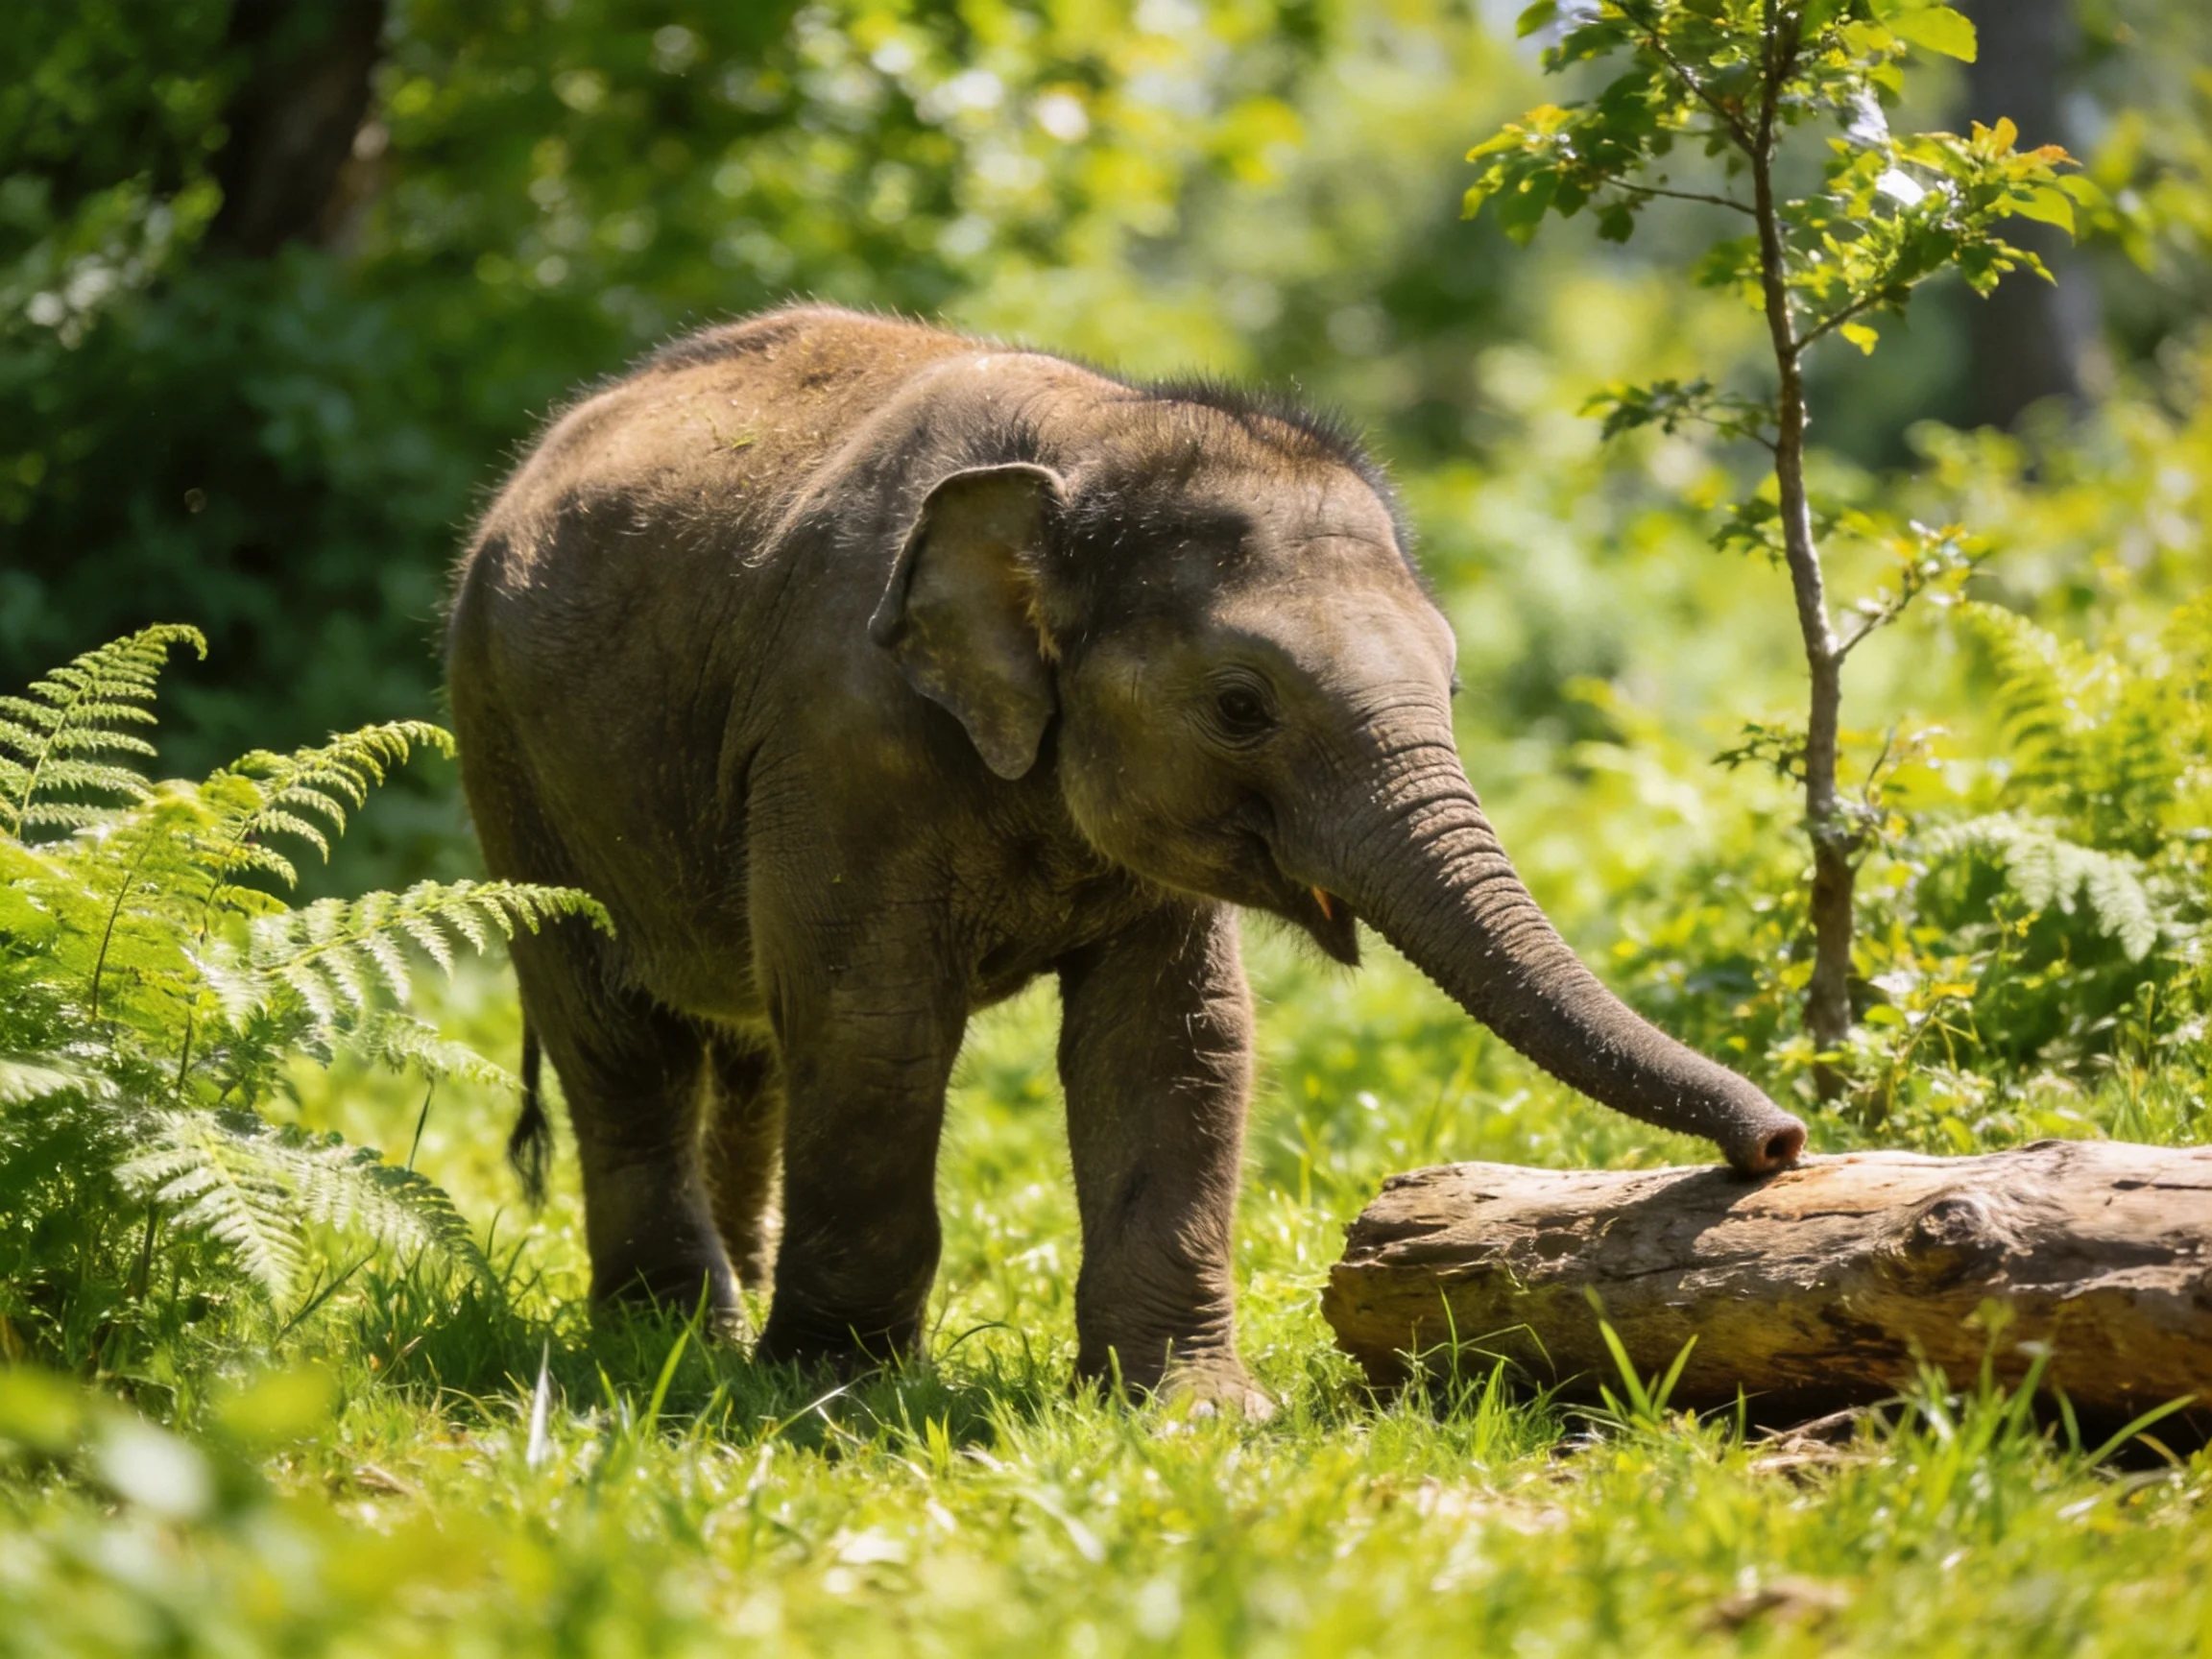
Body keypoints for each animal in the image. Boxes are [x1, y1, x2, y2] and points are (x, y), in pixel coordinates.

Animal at [445, 304, 1805, 1414]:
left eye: (1455, 686)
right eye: (1242, 707)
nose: (1779, 1147)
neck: (1095, 440)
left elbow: (1176, 1039)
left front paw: (1194, 1415)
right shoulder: (837, 733)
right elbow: (875, 1027)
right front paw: (838, 1401)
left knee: (746, 1046)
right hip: (503, 748)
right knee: (619, 1035)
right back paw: (669, 1344)